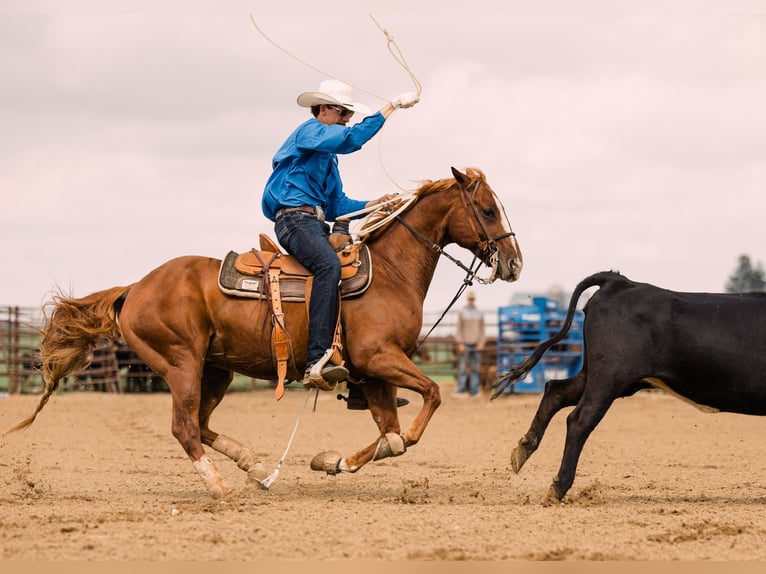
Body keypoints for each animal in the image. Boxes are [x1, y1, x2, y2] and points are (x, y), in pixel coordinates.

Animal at [6, 167, 523, 498]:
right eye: (486, 210)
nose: (515, 263)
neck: (391, 271)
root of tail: (135, 288)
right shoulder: (379, 358)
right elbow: (428, 401)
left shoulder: (373, 372)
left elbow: (391, 436)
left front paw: (331, 461)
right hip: (181, 365)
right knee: (184, 427)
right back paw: (219, 486)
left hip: (215, 370)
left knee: (201, 424)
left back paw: (253, 465)